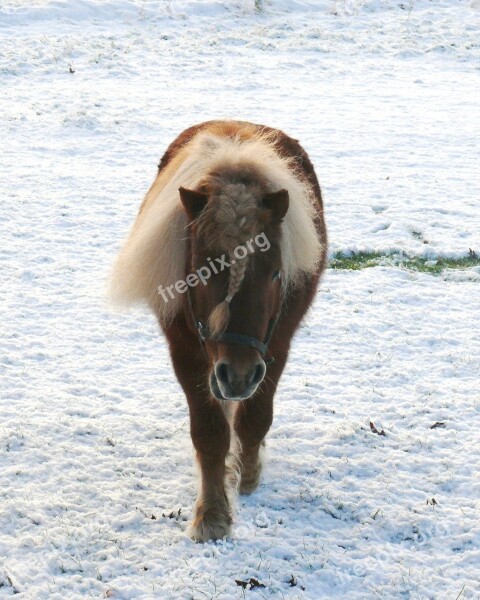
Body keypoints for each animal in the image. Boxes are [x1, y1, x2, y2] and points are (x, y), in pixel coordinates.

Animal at [109, 119, 326, 540]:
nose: (237, 374)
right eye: (201, 273)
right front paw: (212, 515)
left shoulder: (275, 346)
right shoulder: (187, 354)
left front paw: (248, 475)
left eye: (275, 274)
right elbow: (209, 434)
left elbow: (255, 419)